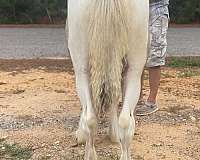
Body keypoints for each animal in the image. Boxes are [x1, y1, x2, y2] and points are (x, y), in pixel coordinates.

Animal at [67, 0, 148, 159]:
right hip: (134, 64)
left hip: (80, 63)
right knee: (124, 120)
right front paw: (114, 135)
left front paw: (81, 135)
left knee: (90, 116)